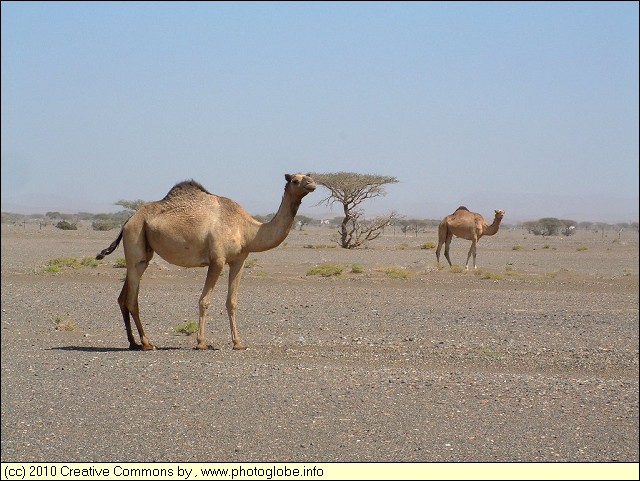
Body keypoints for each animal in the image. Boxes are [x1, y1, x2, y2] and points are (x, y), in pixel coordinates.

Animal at [95, 172, 316, 348]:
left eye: (307, 175)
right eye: (295, 180)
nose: (312, 183)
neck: (247, 229)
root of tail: (128, 221)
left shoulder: (239, 260)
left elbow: (231, 302)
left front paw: (238, 343)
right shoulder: (217, 260)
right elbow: (205, 300)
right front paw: (201, 342)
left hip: (141, 251)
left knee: (123, 297)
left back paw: (133, 342)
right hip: (136, 240)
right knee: (132, 299)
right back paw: (147, 343)